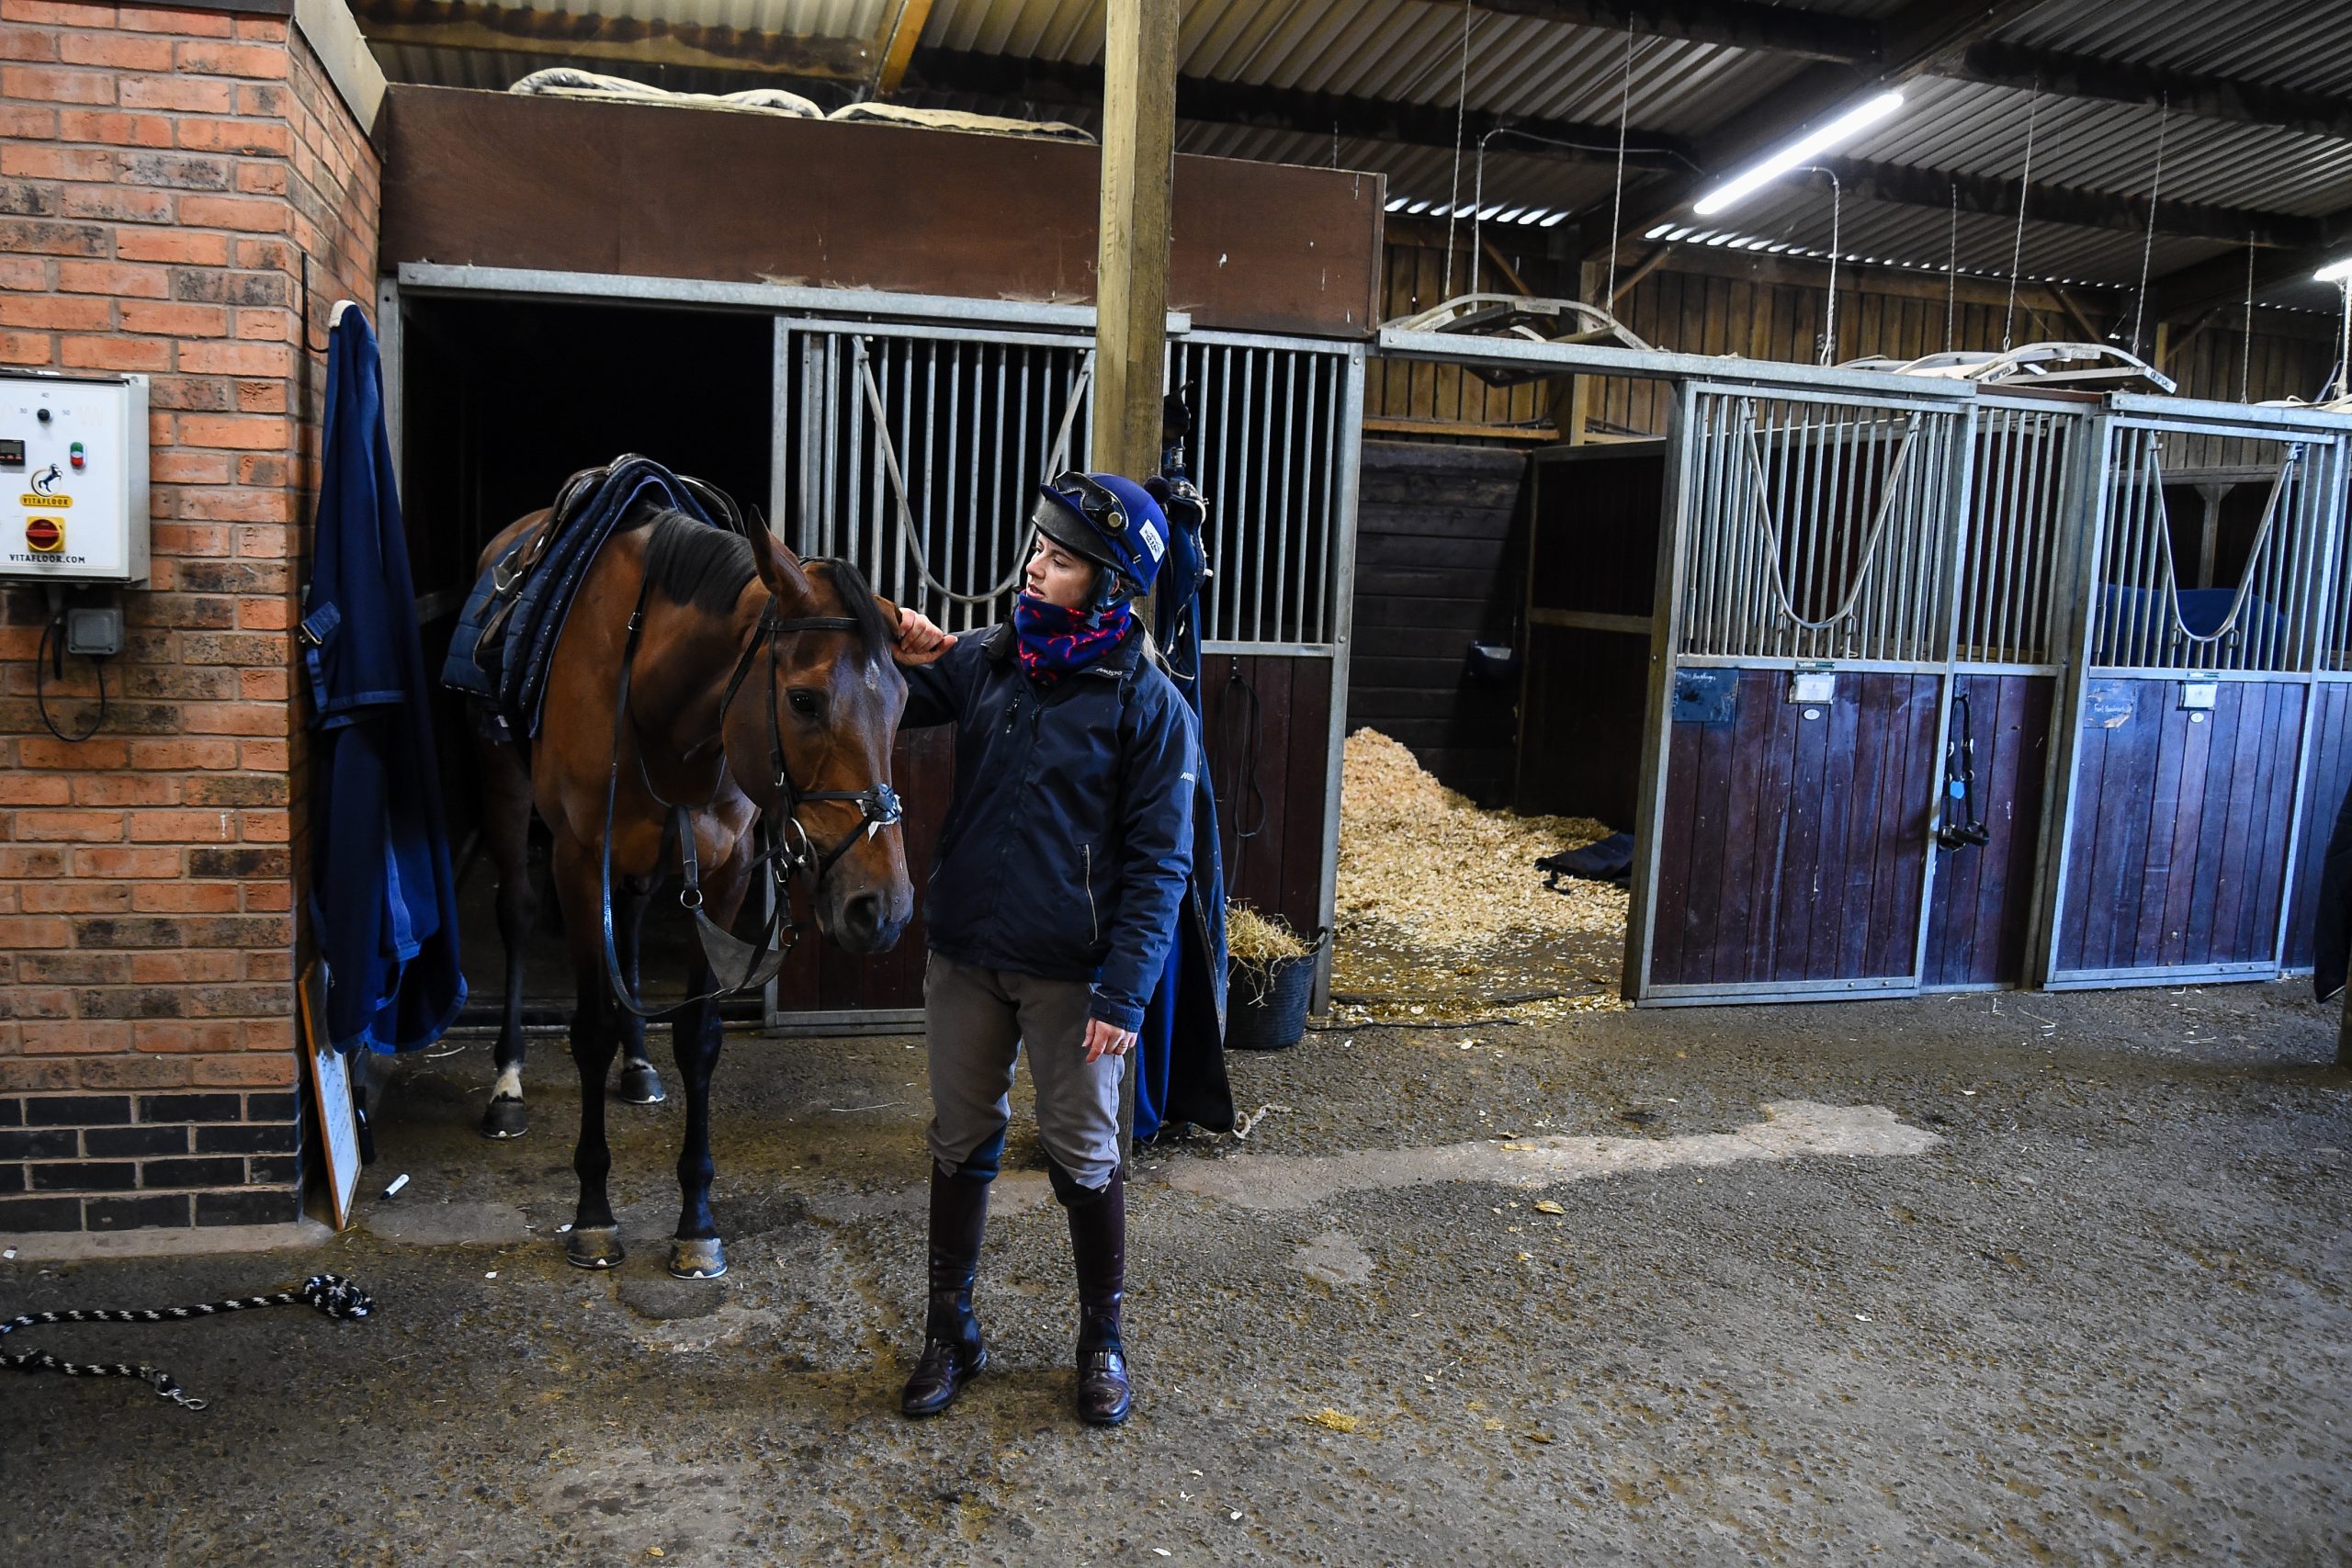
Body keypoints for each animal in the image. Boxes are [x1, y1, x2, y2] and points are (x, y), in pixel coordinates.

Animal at [470, 510, 917, 1279]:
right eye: (803, 699)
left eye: (902, 702)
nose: (881, 909)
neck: (655, 701)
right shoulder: (578, 861)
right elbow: (589, 1029)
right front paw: (594, 1215)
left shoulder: (724, 870)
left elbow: (700, 1038)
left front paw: (697, 1223)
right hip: (507, 791)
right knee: (517, 916)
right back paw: (508, 1081)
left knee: (632, 928)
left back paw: (638, 1065)